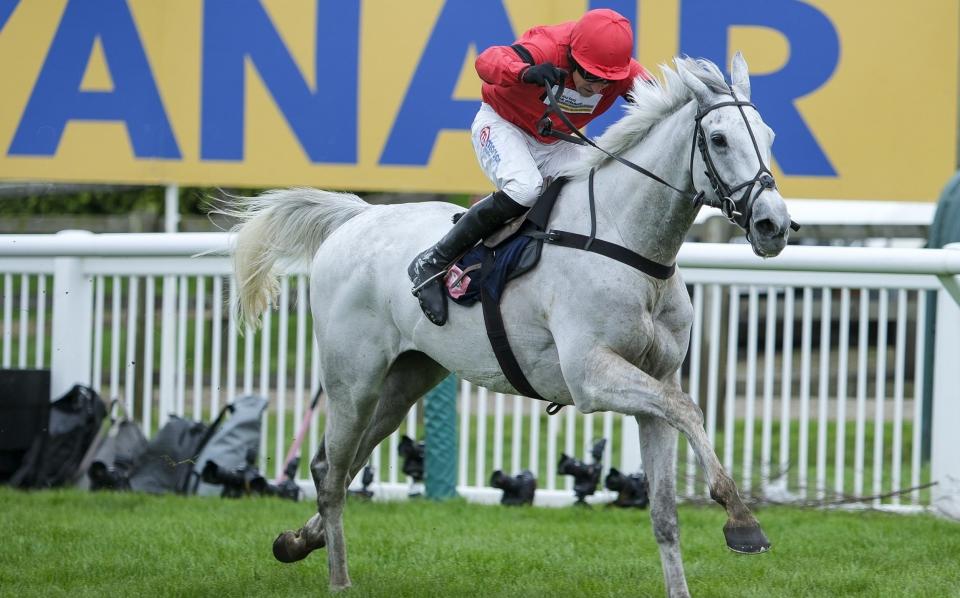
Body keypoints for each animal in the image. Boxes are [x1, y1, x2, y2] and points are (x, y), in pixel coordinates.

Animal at [227, 54, 796, 596]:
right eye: (718, 139)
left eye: (769, 136)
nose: (773, 224)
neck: (626, 241)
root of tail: (356, 217)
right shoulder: (591, 377)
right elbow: (689, 409)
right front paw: (742, 520)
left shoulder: (654, 382)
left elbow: (664, 509)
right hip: (353, 379)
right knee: (330, 472)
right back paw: (338, 579)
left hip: (406, 379)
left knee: (341, 466)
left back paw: (298, 541)